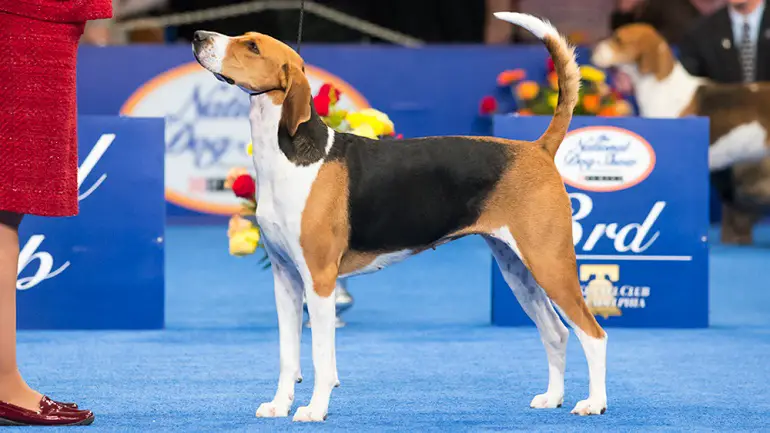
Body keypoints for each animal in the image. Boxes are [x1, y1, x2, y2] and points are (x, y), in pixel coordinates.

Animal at [190, 11, 608, 420]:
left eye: (252, 46)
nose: (197, 36)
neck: (290, 154)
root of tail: (538, 148)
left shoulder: (320, 280)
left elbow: (322, 358)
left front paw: (314, 410)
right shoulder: (286, 279)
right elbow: (287, 356)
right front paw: (279, 406)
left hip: (550, 264)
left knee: (593, 334)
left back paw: (594, 403)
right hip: (518, 270)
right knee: (556, 332)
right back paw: (553, 398)